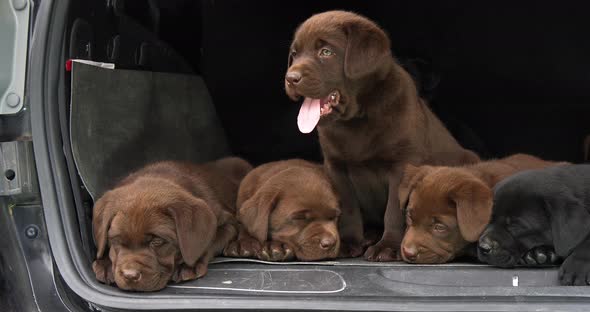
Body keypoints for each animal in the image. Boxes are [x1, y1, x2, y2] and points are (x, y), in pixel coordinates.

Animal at [92, 157, 252, 292]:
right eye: (115, 240)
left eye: (157, 241)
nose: (130, 275)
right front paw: (105, 263)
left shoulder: (228, 223)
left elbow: (208, 242)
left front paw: (185, 264)